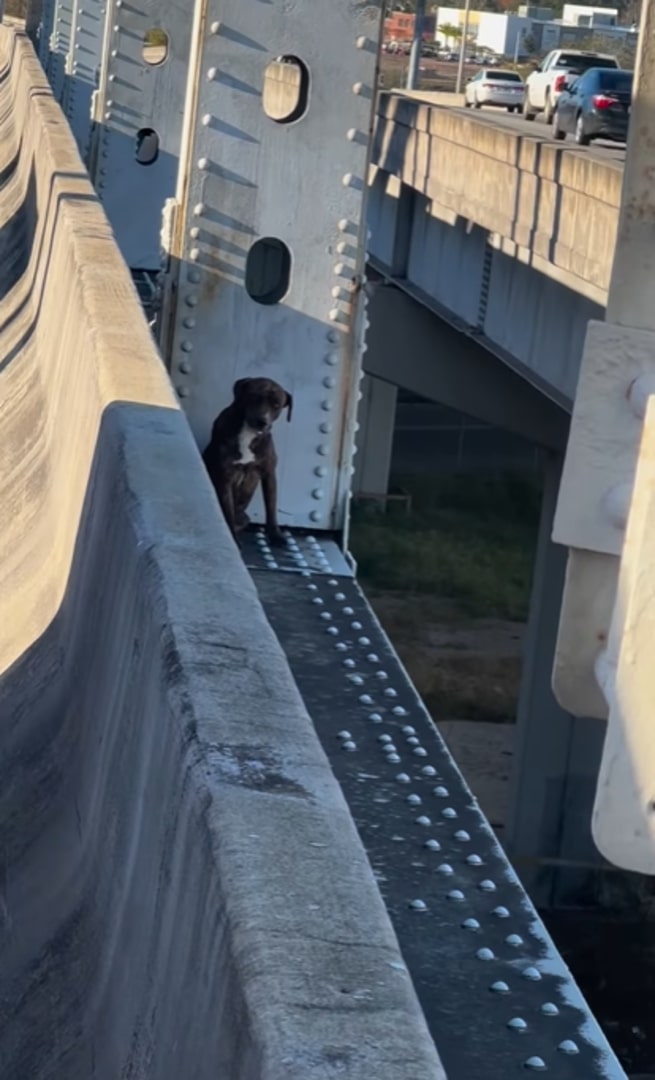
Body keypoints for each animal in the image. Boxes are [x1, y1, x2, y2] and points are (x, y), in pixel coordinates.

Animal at [201, 380, 291, 548]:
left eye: (276, 405)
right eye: (254, 397)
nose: (262, 421)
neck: (249, 433)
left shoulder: (269, 473)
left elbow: (271, 508)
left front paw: (275, 536)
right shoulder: (225, 478)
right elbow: (227, 512)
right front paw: (233, 541)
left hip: (244, 517)